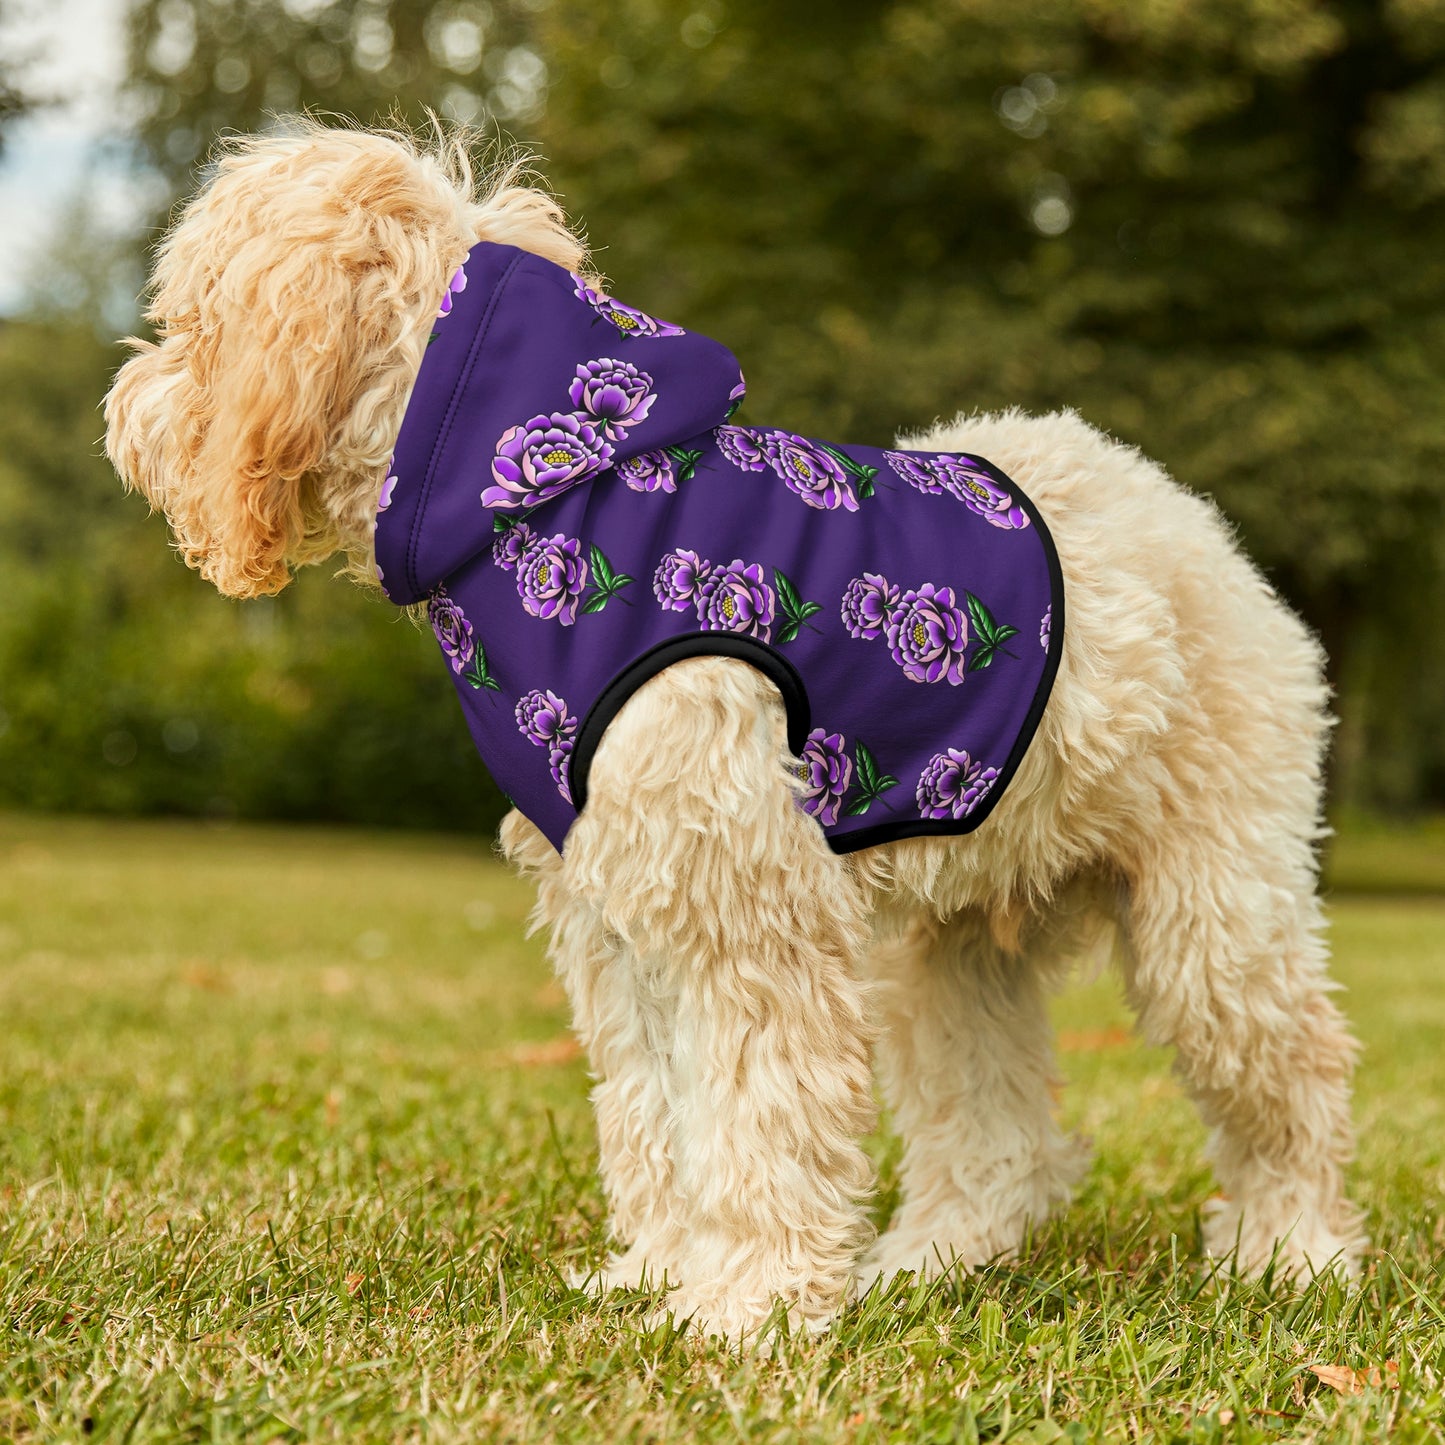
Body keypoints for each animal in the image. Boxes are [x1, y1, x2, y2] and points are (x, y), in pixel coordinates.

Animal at [104, 124, 1364, 1340]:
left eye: (190, 319)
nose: (123, 408)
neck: (551, 495)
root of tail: (1187, 518)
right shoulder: (619, 912)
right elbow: (657, 1111)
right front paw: (662, 1273)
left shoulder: (744, 905)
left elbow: (758, 1112)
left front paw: (747, 1305)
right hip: (948, 947)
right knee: (995, 1133)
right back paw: (929, 1260)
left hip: (1213, 915)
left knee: (1292, 1075)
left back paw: (1290, 1252)